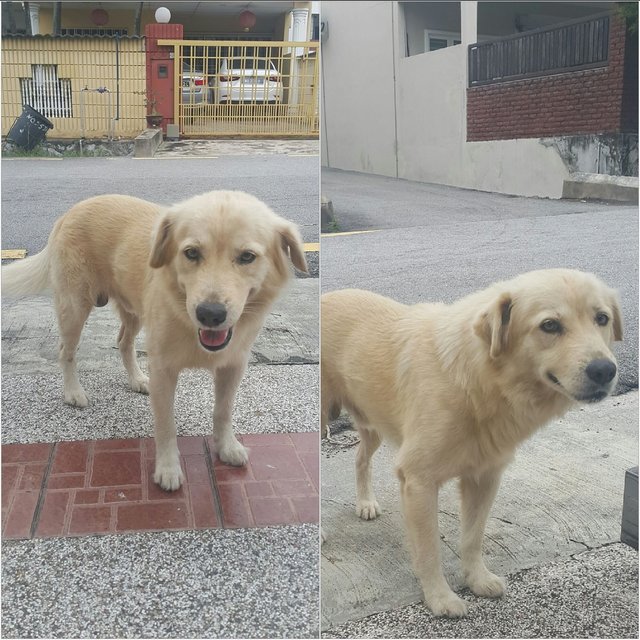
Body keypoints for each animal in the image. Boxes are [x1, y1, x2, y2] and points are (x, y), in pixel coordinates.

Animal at [2, 190, 308, 490]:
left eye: (247, 257)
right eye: (191, 253)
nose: (210, 314)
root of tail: (71, 211)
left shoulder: (233, 366)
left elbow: (223, 411)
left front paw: (227, 446)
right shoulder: (163, 370)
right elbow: (166, 425)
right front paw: (168, 469)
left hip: (134, 313)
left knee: (123, 342)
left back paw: (137, 379)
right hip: (75, 308)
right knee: (66, 350)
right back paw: (73, 392)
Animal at [322, 268, 624, 616]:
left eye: (601, 318)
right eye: (550, 325)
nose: (605, 370)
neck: (478, 379)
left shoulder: (484, 477)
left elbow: (472, 537)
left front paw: (477, 579)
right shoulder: (418, 481)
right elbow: (429, 550)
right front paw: (439, 597)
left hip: (374, 426)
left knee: (360, 458)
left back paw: (365, 502)